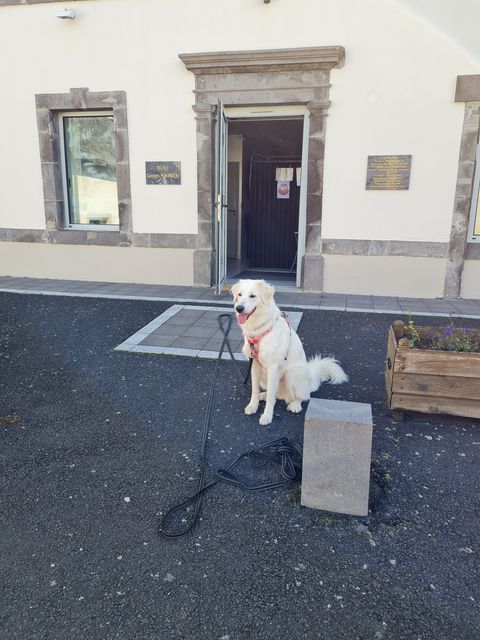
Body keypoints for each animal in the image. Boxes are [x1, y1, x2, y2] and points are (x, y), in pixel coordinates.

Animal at [231, 278, 346, 424]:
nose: (239, 308)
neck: (260, 329)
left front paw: (267, 416)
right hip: (265, 377)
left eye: (252, 296)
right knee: (276, 394)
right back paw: (264, 395)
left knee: (301, 397)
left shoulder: (273, 367)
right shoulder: (255, 365)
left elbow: (271, 398)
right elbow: (255, 390)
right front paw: (253, 405)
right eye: (239, 295)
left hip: (292, 374)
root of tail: (310, 381)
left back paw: (295, 405)